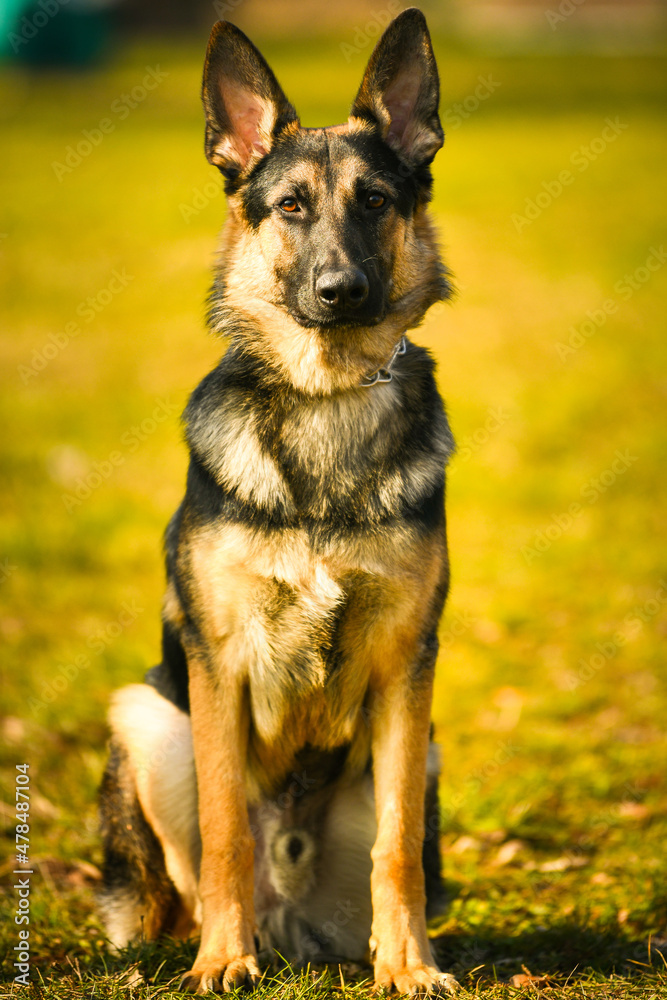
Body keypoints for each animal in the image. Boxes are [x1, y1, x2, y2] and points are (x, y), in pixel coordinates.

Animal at [98, 5, 460, 992]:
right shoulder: (217, 665)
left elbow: (395, 851)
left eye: (374, 201)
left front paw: (407, 966)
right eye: (290, 206)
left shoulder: (407, 671)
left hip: (424, 752)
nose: (341, 292)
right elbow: (227, 829)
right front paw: (224, 961)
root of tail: (292, 921)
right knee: (183, 889)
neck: (325, 398)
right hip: (148, 718)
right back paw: (213, 941)